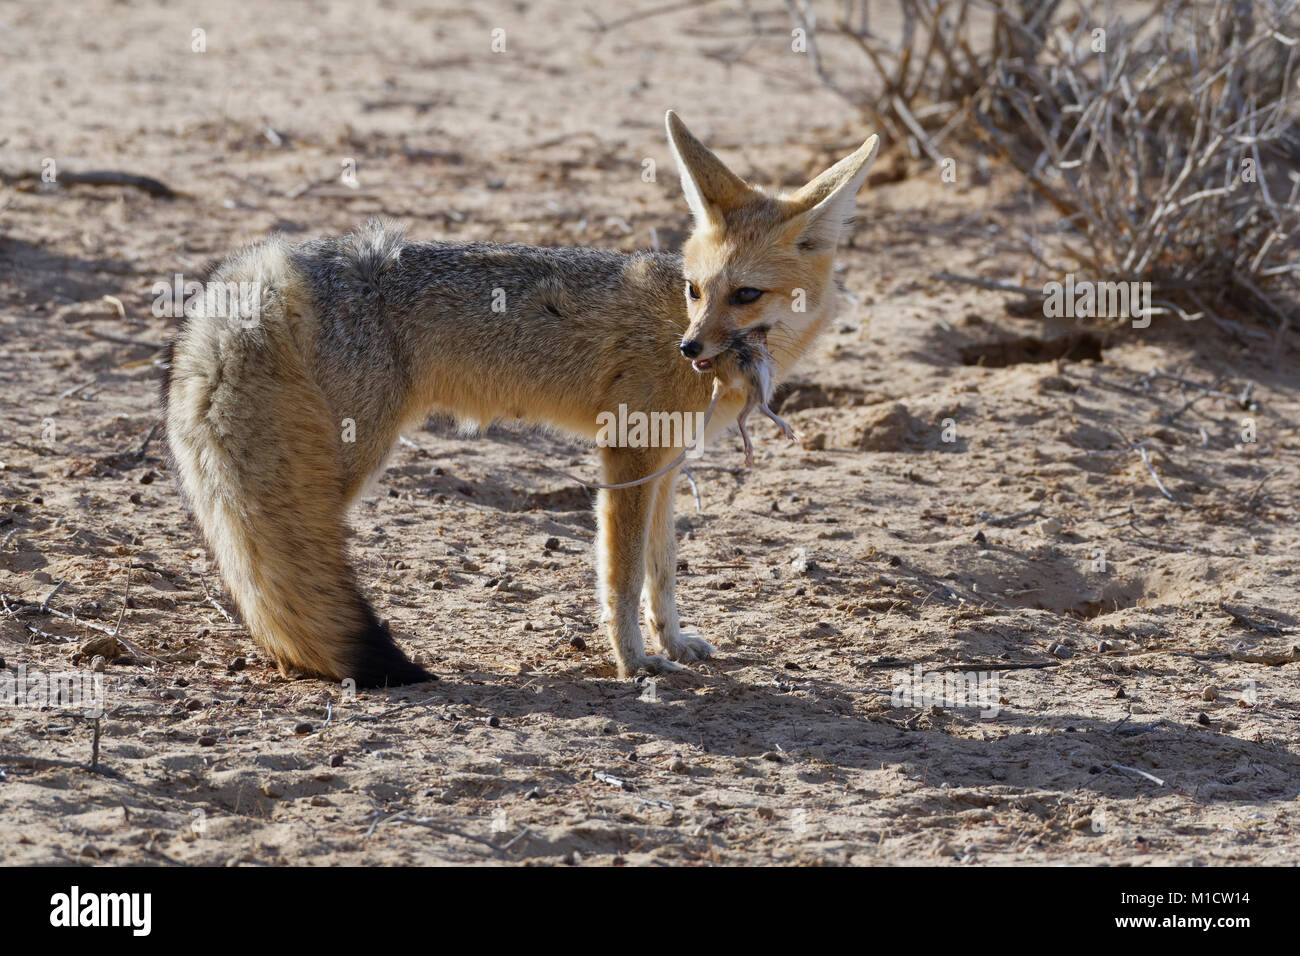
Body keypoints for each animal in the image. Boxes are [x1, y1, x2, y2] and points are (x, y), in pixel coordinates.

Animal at [157, 113, 878, 686]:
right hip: (339, 469)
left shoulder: (666, 466)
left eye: (745, 294)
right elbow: (622, 576)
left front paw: (672, 642)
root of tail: (270, 265)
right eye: (697, 291)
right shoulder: (626, 454)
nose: (690, 347)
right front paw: (632, 662)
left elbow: (663, 570)